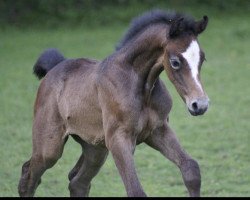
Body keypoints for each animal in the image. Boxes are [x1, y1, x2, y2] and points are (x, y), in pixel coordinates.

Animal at [18, 9, 209, 197]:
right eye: (175, 62)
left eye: (202, 59)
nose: (200, 104)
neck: (141, 85)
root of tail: (55, 67)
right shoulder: (119, 138)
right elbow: (135, 190)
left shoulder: (158, 130)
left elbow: (191, 168)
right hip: (50, 147)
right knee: (29, 175)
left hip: (95, 149)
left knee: (77, 182)